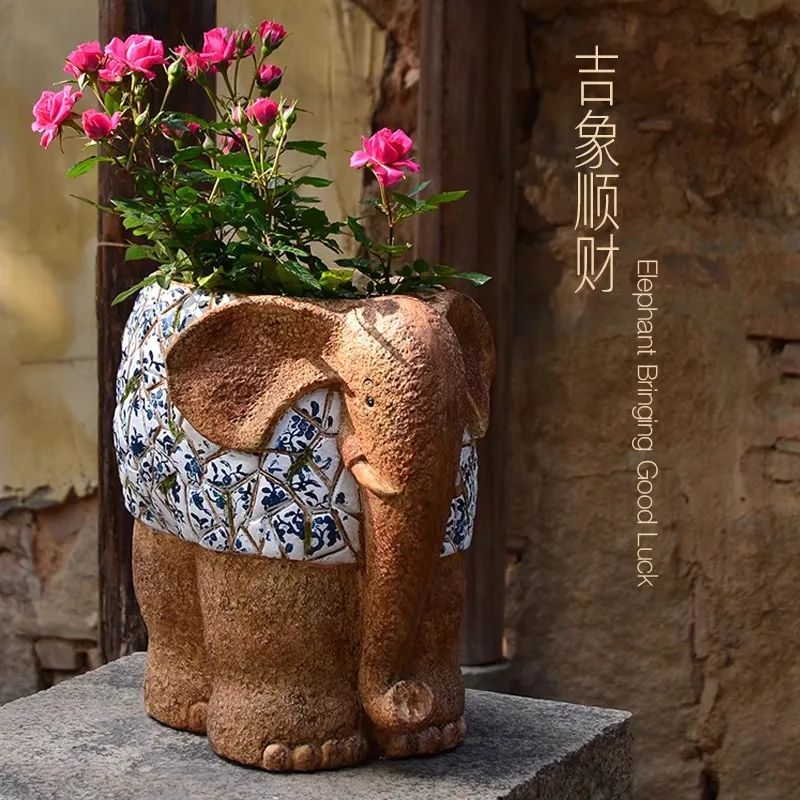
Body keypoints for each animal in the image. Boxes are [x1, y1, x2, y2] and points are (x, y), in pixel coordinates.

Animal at [113, 281, 494, 771]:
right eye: (367, 400)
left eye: (459, 411)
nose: (410, 698)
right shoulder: (261, 499)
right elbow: (275, 607)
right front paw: (305, 754)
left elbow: (445, 593)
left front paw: (430, 738)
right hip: (154, 496)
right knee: (159, 574)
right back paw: (188, 712)